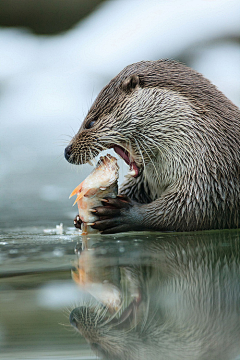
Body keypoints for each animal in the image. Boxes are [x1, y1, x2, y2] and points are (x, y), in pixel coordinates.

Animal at [63, 59, 240, 233]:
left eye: (90, 123)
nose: (67, 151)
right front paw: (78, 219)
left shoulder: (209, 181)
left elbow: (190, 211)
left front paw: (125, 213)